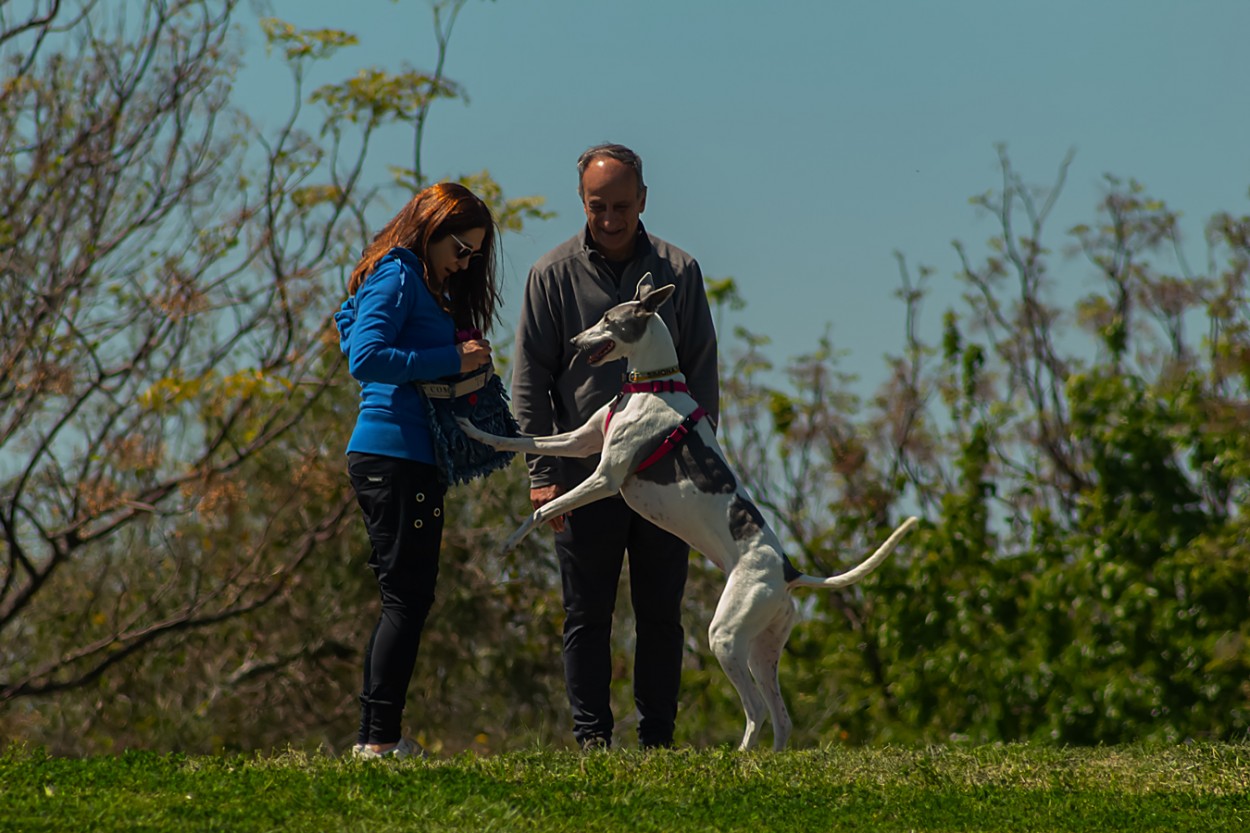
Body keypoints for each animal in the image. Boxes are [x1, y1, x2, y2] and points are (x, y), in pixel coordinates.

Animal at [462, 275, 920, 750]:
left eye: (607, 319)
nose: (573, 340)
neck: (651, 386)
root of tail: (789, 571)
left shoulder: (605, 478)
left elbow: (544, 509)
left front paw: (508, 543)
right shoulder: (580, 440)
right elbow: (526, 440)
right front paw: (475, 431)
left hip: (726, 637)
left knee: (756, 710)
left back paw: (740, 757)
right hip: (763, 648)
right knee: (782, 717)